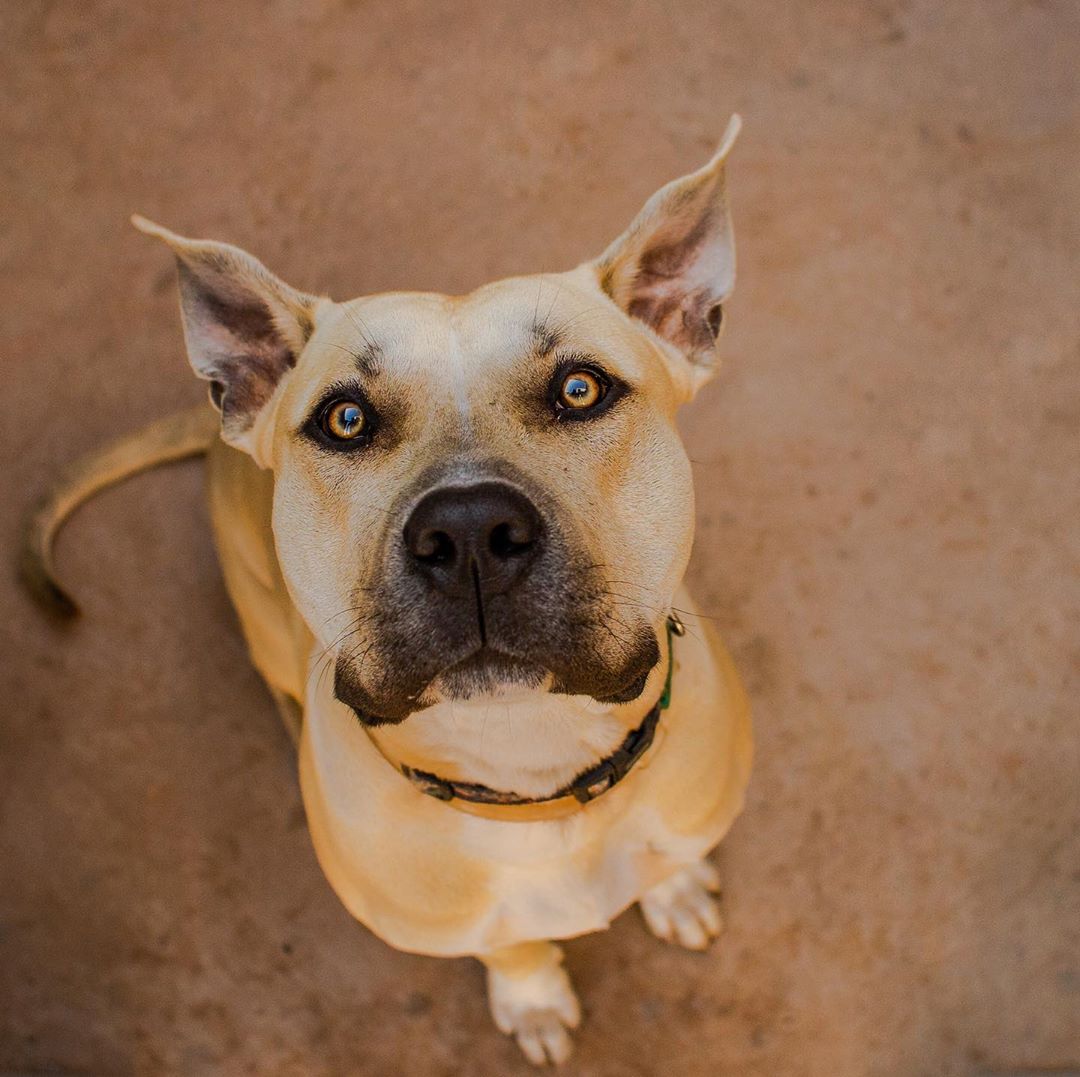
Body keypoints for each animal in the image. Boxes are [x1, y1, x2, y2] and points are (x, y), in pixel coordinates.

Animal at [23, 115, 751, 1058]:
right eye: (345, 419)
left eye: (581, 388)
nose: (470, 529)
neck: (529, 763)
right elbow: (511, 944)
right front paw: (533, 996)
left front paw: (672, 886)